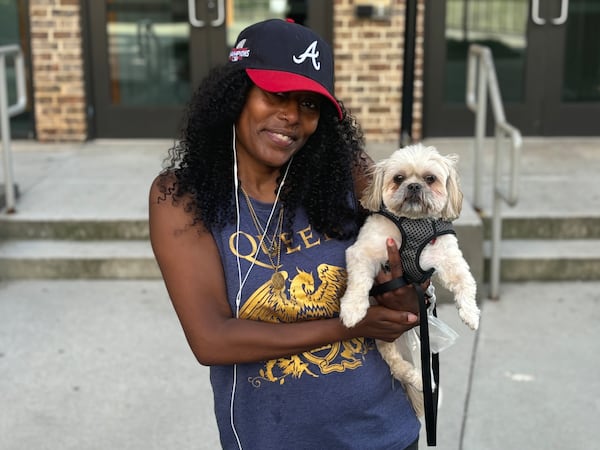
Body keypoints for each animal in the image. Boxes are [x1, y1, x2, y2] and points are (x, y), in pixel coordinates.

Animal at [340, 144, 480, 414]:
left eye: (430, 178)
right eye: (398, 178)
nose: (414, 186)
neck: (413, 224)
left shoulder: (449, 259)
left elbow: (466, 282)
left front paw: (471, 314)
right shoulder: (363, 252)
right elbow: (359, 283)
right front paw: (352, 310)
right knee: (397, 364)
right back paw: (420, 380)